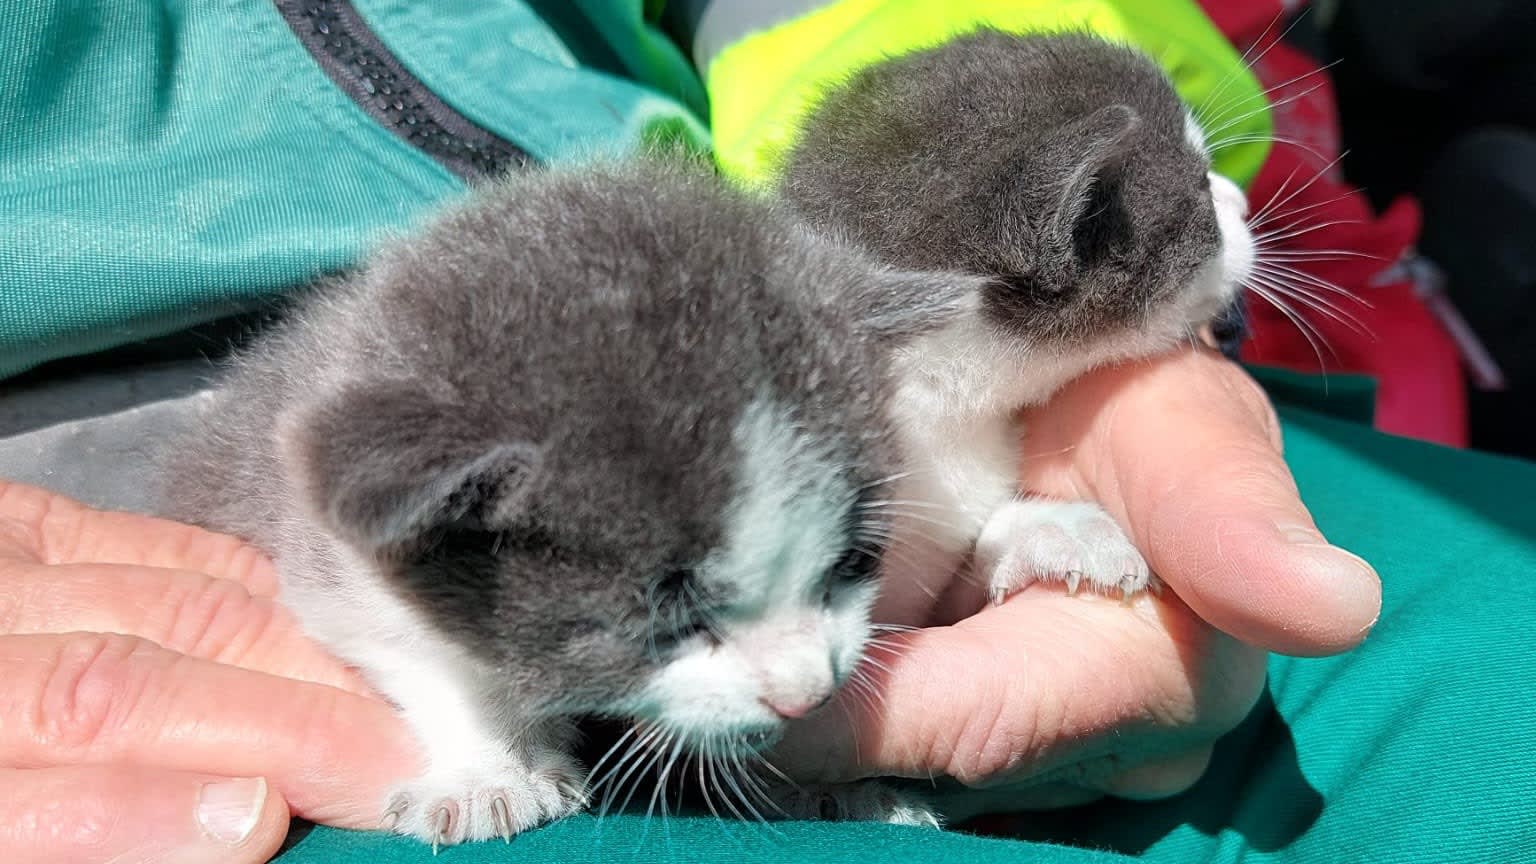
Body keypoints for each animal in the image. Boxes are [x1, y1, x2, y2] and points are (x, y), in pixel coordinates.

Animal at [158, 156, 970, 842]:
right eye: (668, 619)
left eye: (852, 563)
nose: (808, 697)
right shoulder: (320, 544)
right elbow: (415, 651)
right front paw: (487, 772)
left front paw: (823, 786)